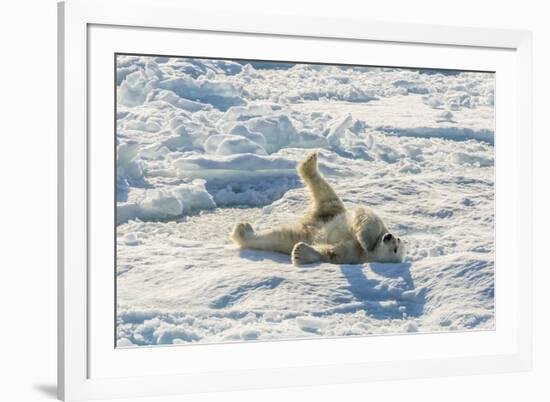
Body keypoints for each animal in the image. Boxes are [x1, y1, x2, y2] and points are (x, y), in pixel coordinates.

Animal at [231, 152, 408, 266]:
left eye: (395, 249)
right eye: (397, 241)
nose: (389, 237)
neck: (367, 252)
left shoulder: (351, 255)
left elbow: (329, 252)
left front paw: (300, 253)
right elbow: (369, 218)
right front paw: (366, 240)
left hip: (306, 227)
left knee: (275, 238)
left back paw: (242, 231)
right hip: (332, 211)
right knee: (326, 191)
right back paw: (310, 161)